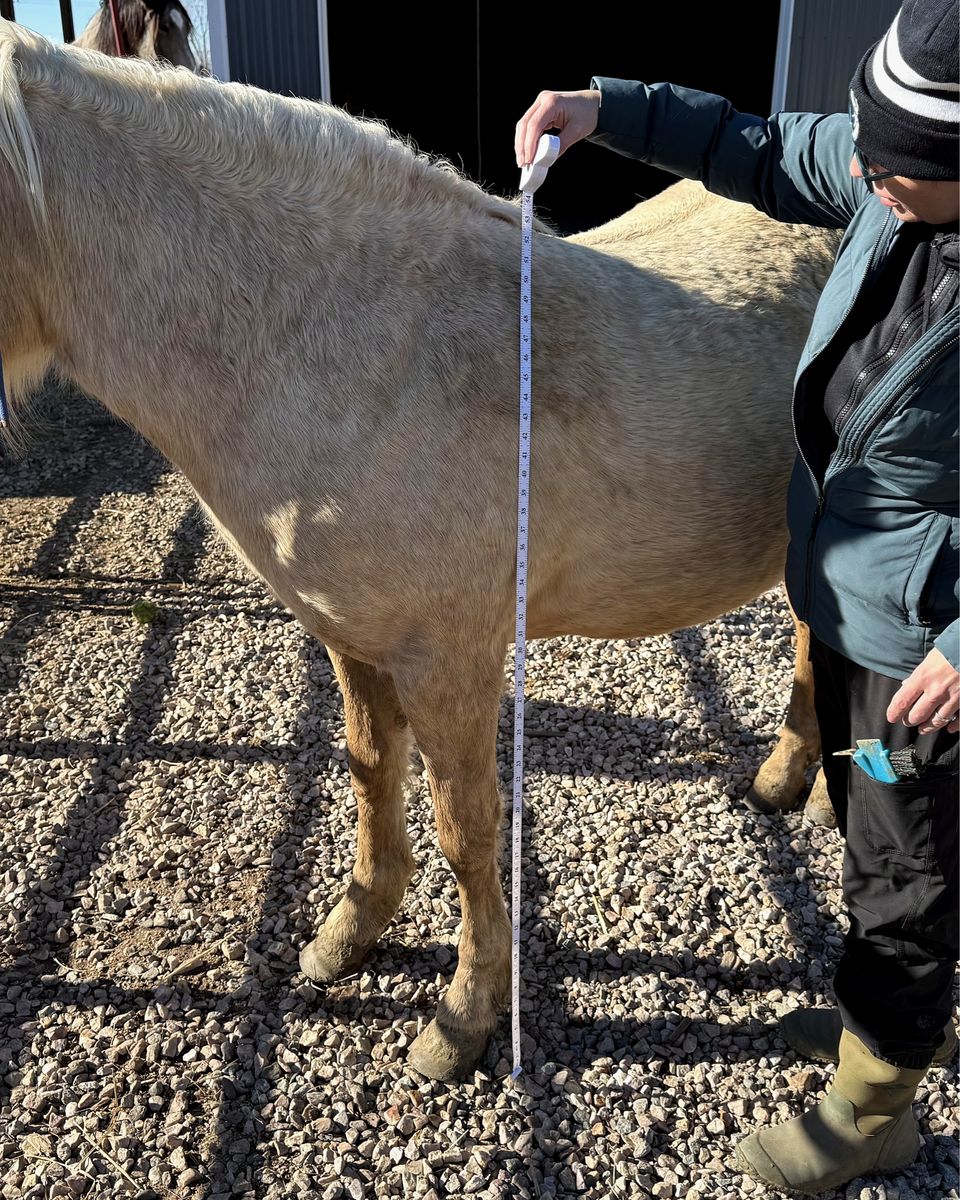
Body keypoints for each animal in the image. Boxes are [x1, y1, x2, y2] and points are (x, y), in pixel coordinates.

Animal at [0, 22, 837, 1080]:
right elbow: (369, 774)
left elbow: (468, 833)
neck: (358, 352)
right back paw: (782, 783)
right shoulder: (354, 641)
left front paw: (465, 1017)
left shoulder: (453, 663)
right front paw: (351, 932)